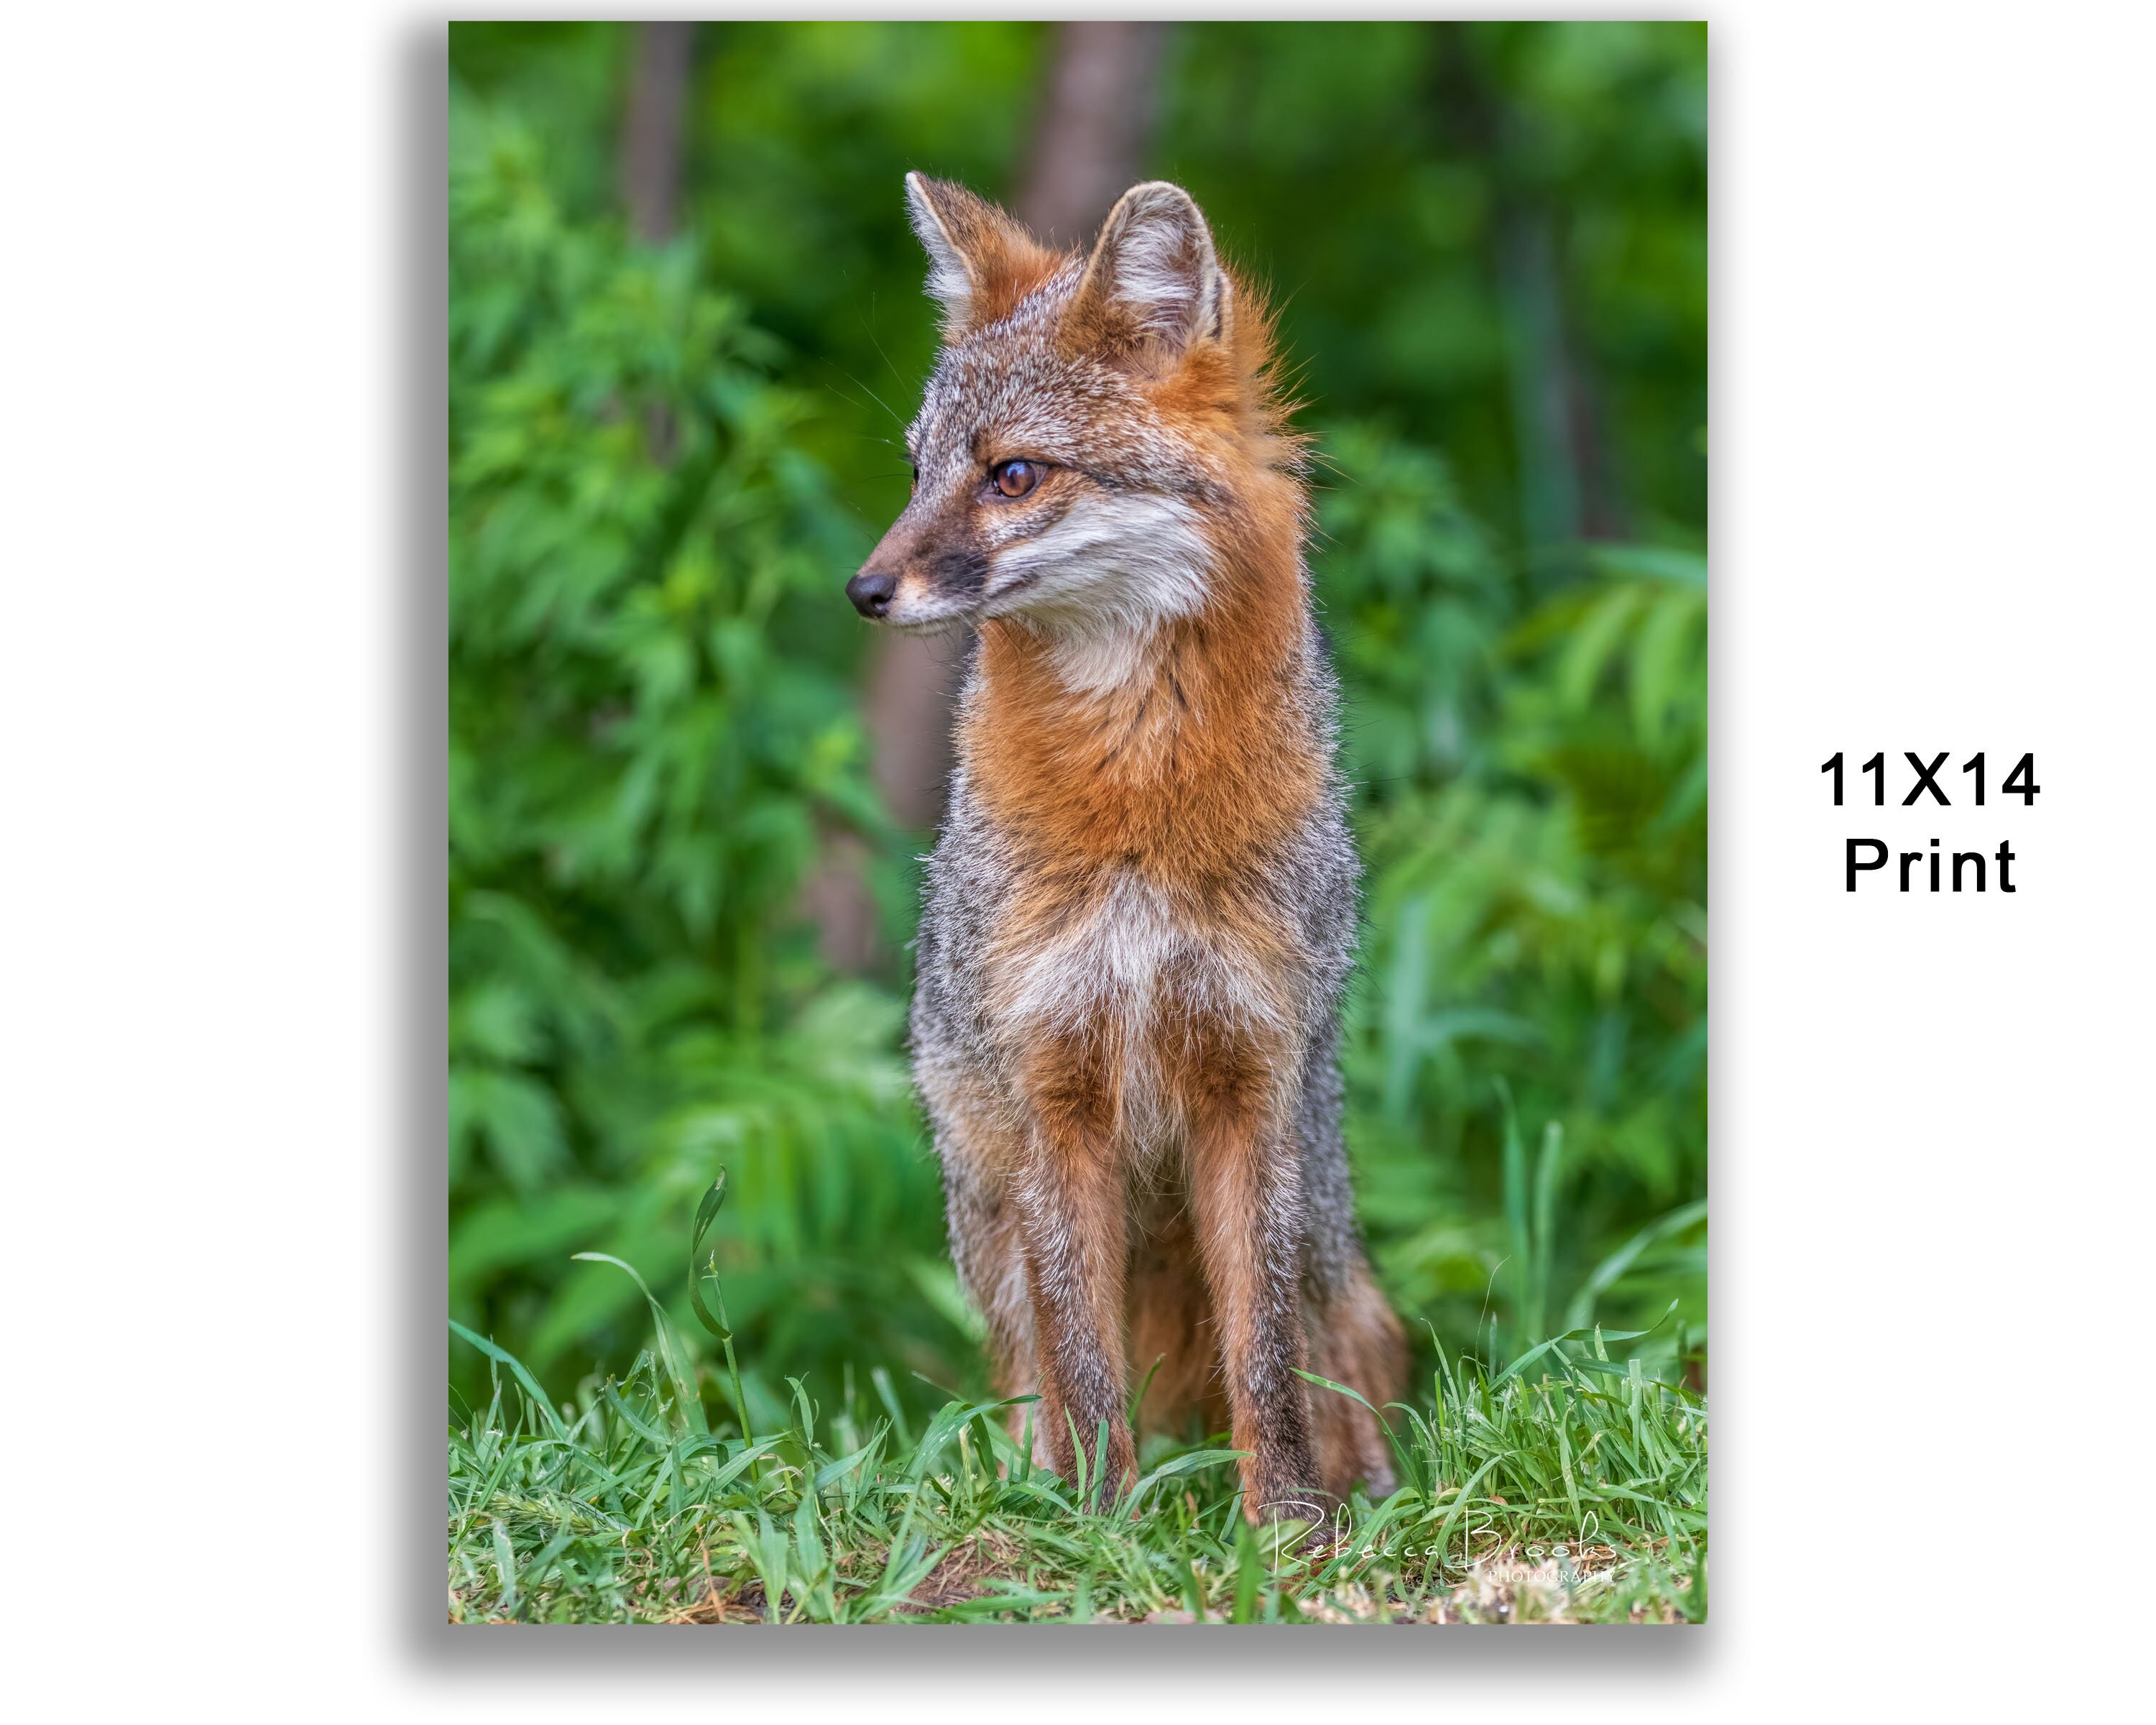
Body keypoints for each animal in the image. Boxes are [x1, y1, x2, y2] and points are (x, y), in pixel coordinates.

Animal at [846, 173, 1405, 1523]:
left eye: (1012, 474)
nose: (864, 590)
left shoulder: (1249, 1076)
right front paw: (1102, 1529)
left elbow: (1264, 1353)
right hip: (989, 1211)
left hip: (1320, 1219)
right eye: (918, 471)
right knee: (1032, 1378)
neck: (1137, 800)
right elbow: (1087, 1359)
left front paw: (1288, 1528)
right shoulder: (1053, 1084)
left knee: (1328, 1343)